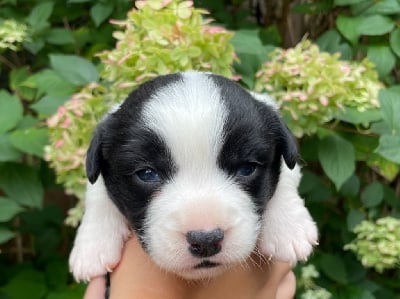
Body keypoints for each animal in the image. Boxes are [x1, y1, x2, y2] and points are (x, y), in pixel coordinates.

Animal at [69, 71, 318, 282]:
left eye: (247, 168)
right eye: (147, 173)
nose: (206, 240)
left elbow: (288, 175)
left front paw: (288, 228)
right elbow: (96, 191)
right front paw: (92, 246)